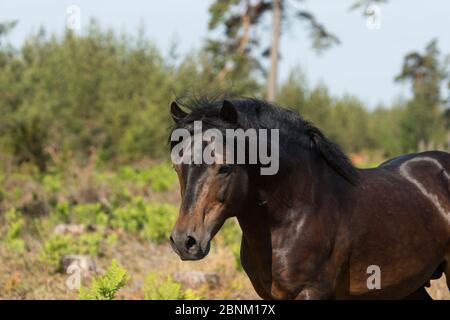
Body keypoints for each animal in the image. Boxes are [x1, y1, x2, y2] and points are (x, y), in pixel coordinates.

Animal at [168, 97, 450, 300]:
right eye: (176, 166)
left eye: (224, 167)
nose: (185, 242)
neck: (297, 213)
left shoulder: (311, 292)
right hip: (409, 286)